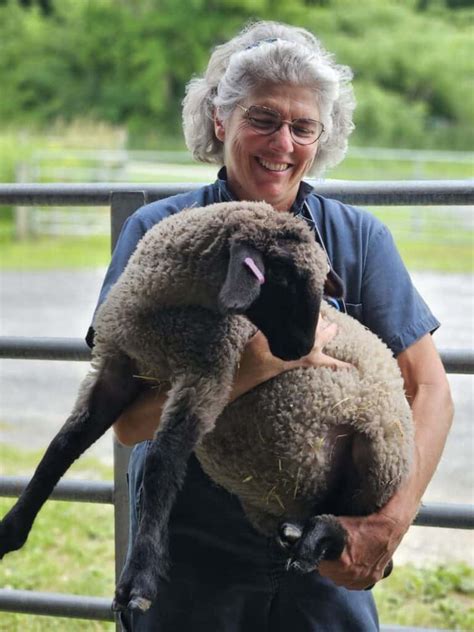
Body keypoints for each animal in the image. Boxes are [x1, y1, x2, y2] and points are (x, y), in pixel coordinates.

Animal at [0, 201, 412, 612]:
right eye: (281, 279)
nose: (303, 348)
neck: (157, 307)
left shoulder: (209, 370)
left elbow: (161, 463)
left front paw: (139, 581)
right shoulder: (118, 368)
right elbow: (62, 446)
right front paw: (12, 529)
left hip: (382, 452)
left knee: (359, 524)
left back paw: (316, 540)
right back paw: (297, 532)